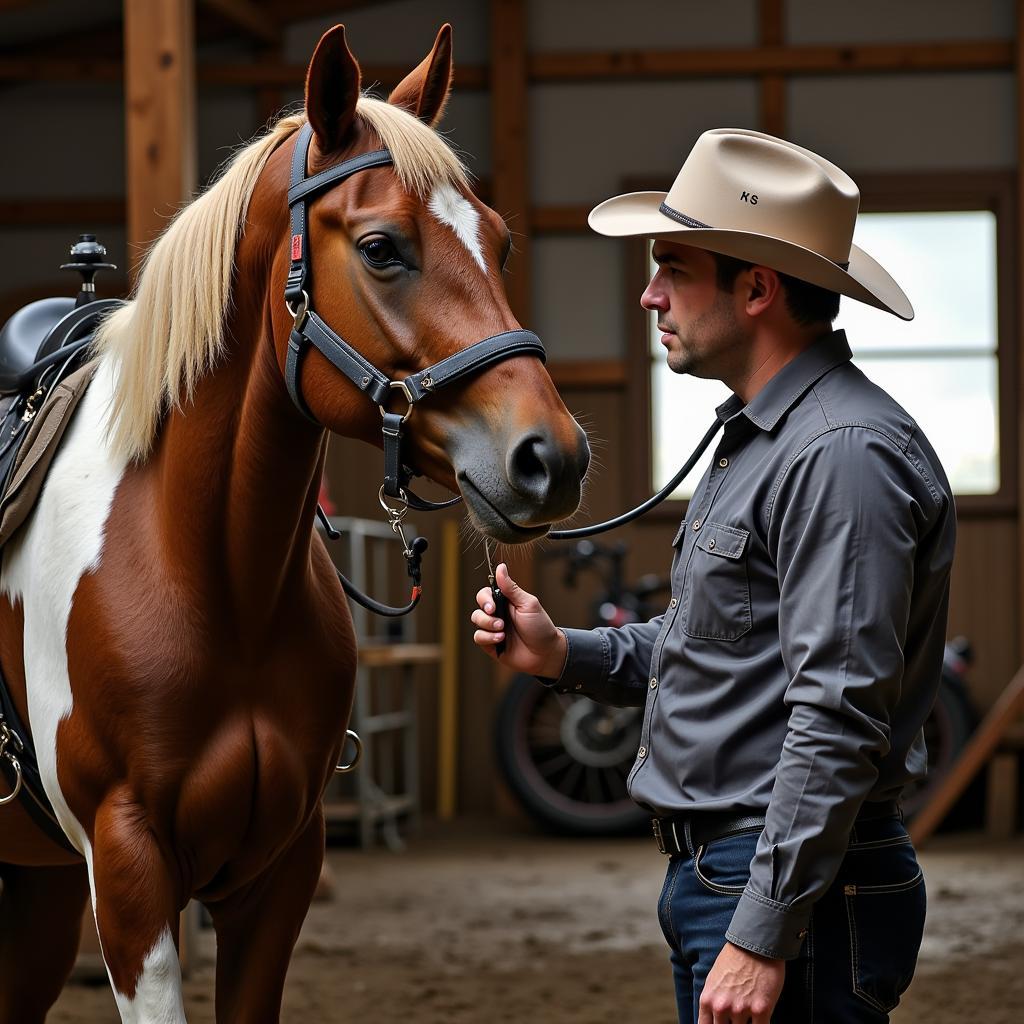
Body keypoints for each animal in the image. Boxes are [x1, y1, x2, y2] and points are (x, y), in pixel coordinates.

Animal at [0, 25, 589, 1024]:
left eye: (502, 243)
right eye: (383, 247)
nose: (552, 458)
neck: (208, 573)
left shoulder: (279, 872)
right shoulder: (129, 876)